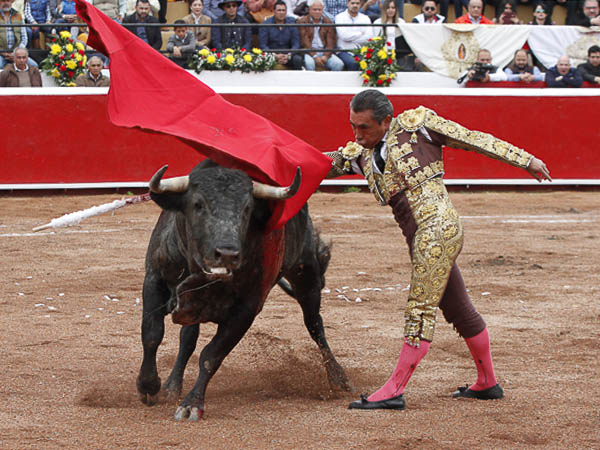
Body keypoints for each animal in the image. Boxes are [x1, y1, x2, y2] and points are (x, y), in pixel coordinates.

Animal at [136, 160, 351, 421]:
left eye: (247, 209)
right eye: (197, 204)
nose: (227, 253)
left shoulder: (247, 309)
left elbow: (211, 355)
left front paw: (191, 404)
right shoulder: (154, 279)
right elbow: (152, 334)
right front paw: (148, 386)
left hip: (306, 274)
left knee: (314, 325)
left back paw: (338, 379)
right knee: (187, 338)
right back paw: (171, 386)